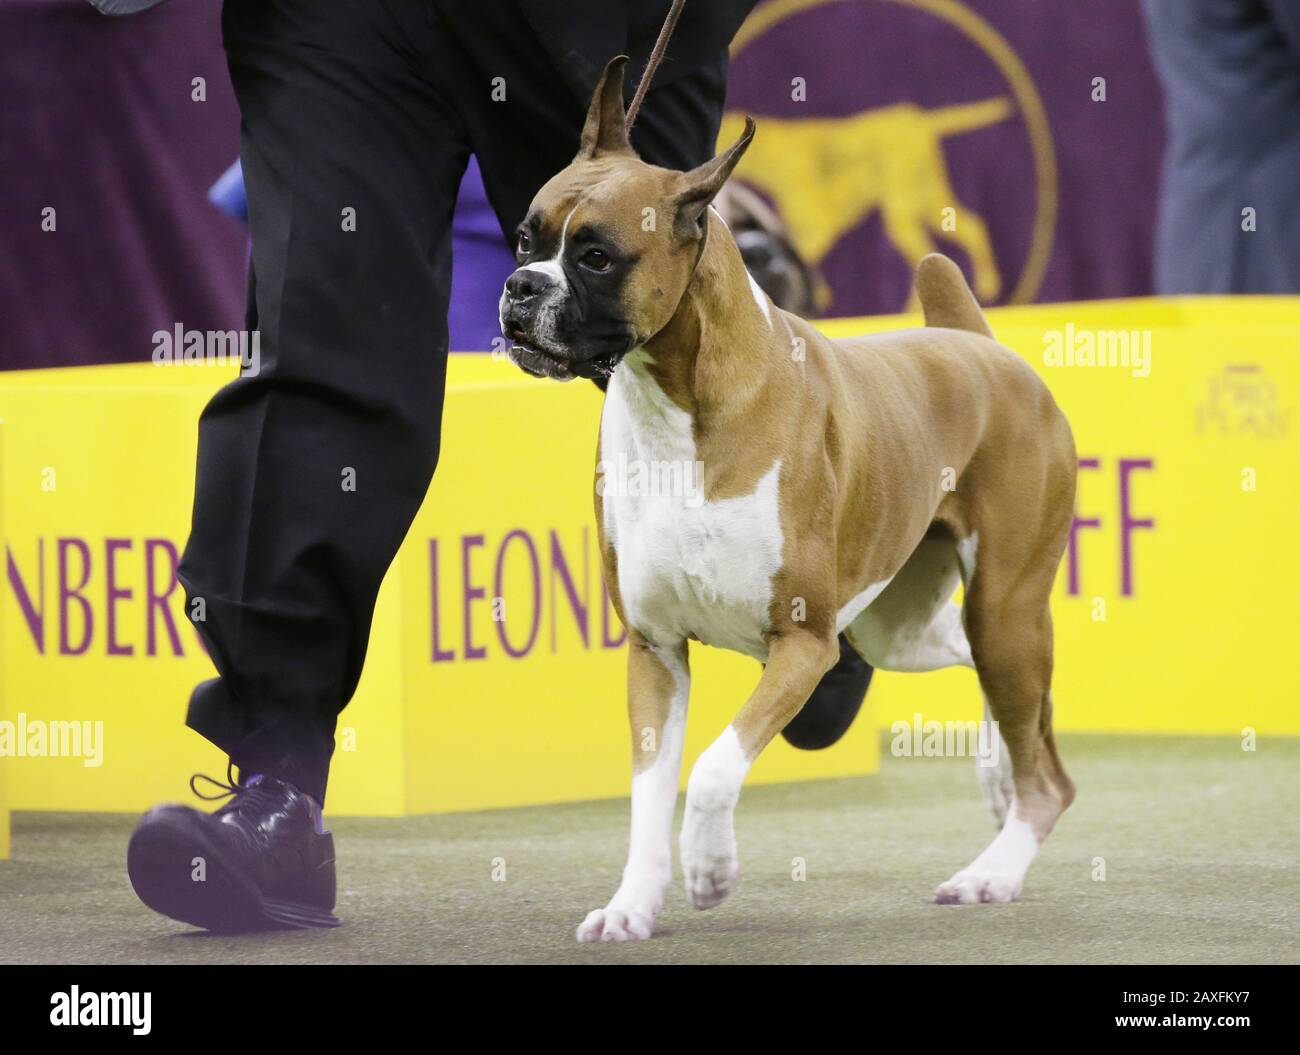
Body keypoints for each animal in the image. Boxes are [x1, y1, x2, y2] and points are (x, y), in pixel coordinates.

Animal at [496, 57, 1076, 945]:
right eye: (527, 238)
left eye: (595, 256)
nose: (520, 287)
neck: (677, 402)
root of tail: (978, 345)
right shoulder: (654, 650)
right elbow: (647, 795)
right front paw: (632, 905)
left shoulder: (802, 643)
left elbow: (710, 768)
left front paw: (710, 869)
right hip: (895, 627)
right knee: (984, 673)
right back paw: (996, 778)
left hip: (1002, 607)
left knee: (1048, 771)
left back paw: (992, 871)